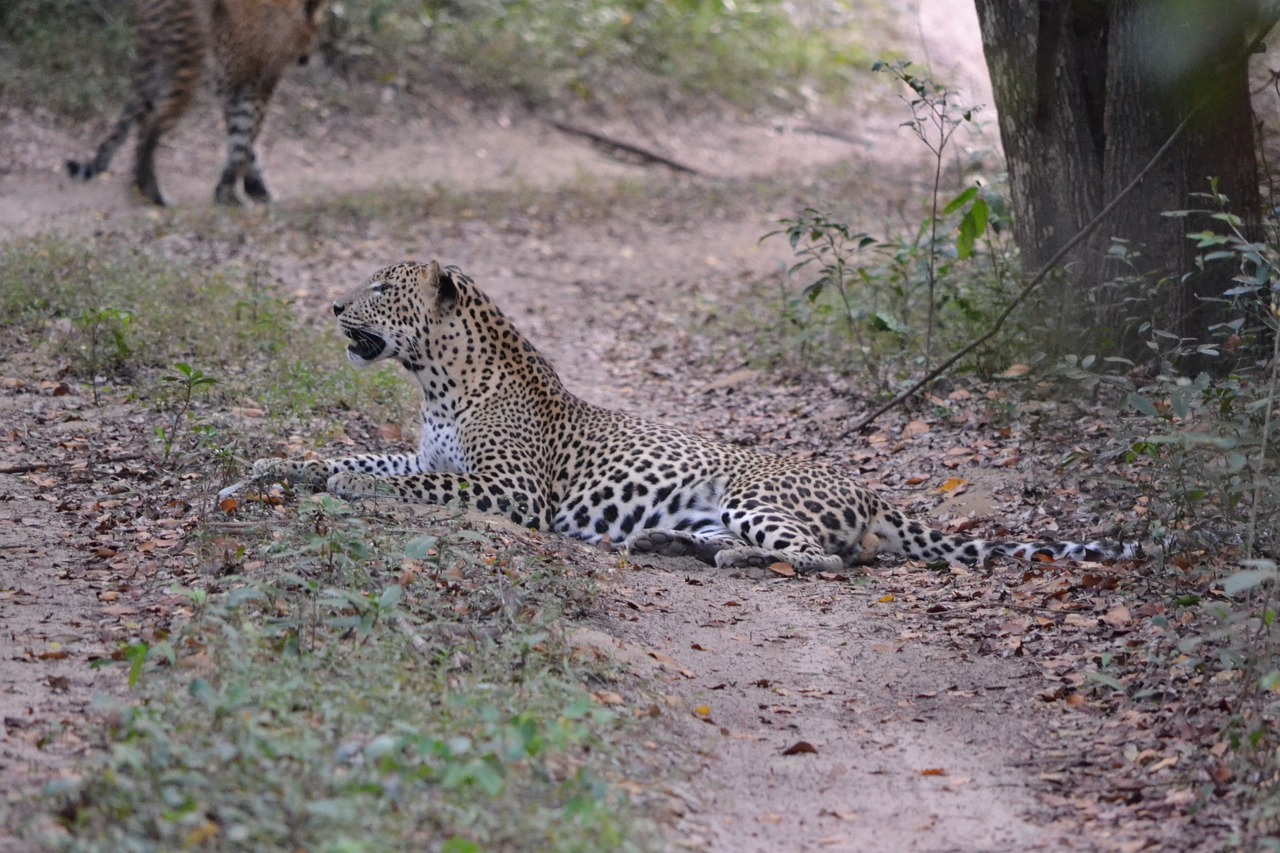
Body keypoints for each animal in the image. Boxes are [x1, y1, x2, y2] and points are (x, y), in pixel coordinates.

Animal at [65, 0, 327, 206]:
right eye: (316, 30)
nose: (308, 57)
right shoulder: (254, 88)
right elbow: (245, 138)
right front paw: (234, 194)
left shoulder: (231, 88)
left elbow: (244, 140)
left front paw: (246, 190)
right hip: (188, 63)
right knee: (152, 124)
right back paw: (155, 195)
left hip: (158, 63)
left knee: (140, 120)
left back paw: (140, 188)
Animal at [232, 256, 1141, 568]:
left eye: (381, 287)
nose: (333, 305)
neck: (437, 379)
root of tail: (875, 491)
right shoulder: (428, 454)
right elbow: (355, 457)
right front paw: (277, 465)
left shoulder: (508, 491)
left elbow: (396, 484)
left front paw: (346, 489)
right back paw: (667, 542)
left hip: (752, 494)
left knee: (825, 557)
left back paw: (732, 556)